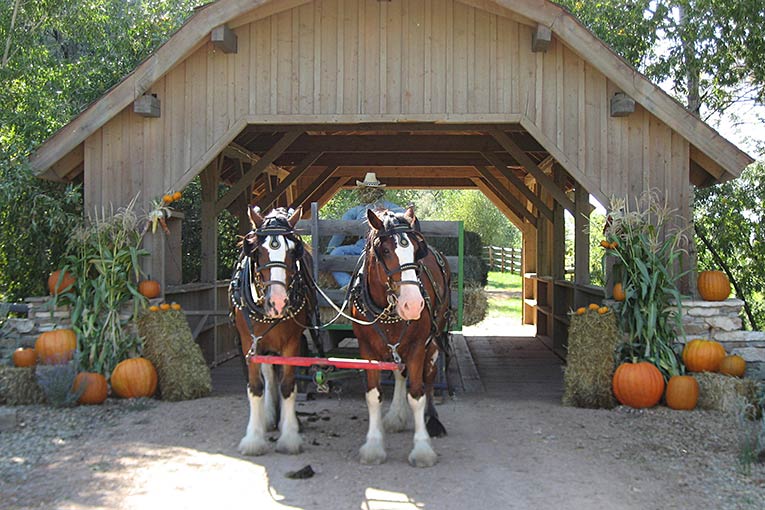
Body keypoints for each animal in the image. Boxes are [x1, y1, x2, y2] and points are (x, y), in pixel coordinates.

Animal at [227, 205, 316, 456]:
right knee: (268, 374)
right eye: (257, 251)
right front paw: (254, 439)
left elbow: (287, 385)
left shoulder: (292, 343)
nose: (277, 303)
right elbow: (256, 387)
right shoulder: (250, 344)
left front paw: (290, 435)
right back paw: (268, 416)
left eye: (293, 252)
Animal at [354, 206, 454, 466]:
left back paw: (433, 420)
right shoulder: (367, 349)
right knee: (400, 373)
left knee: (429, 378)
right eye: (386, 250)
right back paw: (396, 416)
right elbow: (373, 395)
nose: (413, 305)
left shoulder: (418, 345)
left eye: (417, 250)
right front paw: (373, 446)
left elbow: (417, 395)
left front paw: (422, 449)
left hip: (433, 340)